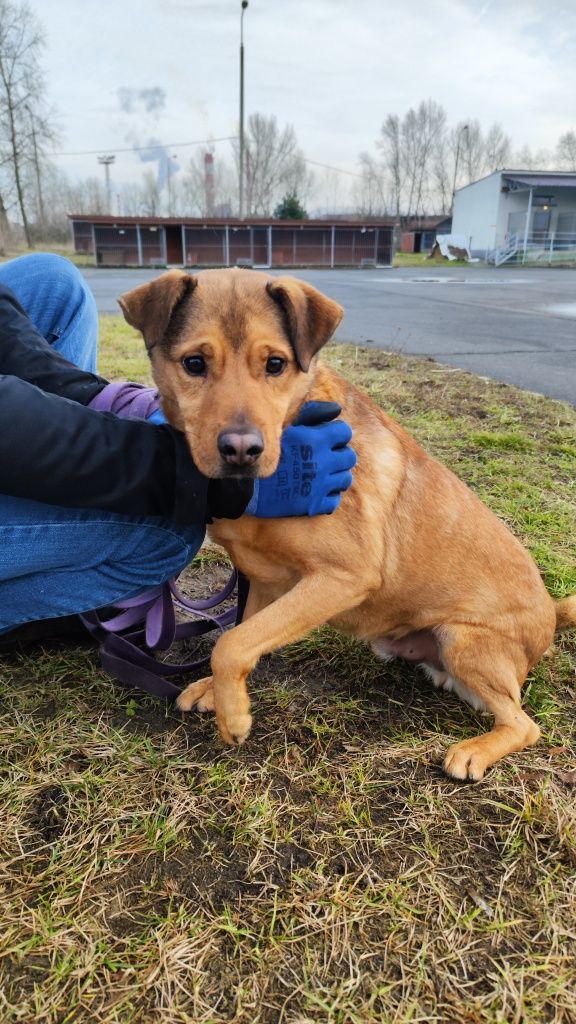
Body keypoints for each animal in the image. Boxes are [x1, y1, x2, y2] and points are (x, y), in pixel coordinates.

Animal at [117, 268, 573, 778]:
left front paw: (233, 717)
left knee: (524, 724)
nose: (241, 451)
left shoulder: (343, 576)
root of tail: (550, 615)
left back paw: (475, 750)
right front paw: (217, 694)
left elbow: (230, 645)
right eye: (194, 363)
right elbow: (242, 638)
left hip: (463, 639)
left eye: (275, 364)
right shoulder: (266, 583)